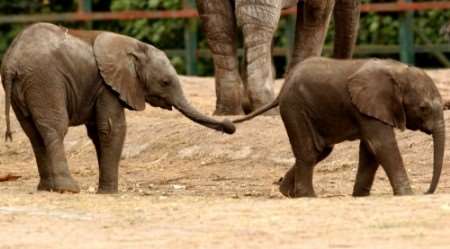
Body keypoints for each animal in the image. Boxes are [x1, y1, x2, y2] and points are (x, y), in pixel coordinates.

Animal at [1, 22, 236, 195]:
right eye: (165, 82)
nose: (230, 126)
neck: (134, 46)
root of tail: (12, 61)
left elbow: (98, 132)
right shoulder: (108, 86)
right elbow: (113, 128)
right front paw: (109, 193)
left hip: (25, 88)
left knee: (33, 134)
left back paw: (47, 188)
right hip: (45, 81)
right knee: (55, 128)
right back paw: (68, 189)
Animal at [234, 57, 444, 197]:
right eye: (423, 108)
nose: (427, 192)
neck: (398, 71)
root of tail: (282, 88)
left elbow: (369, 149)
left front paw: (360, 196)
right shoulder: (367, 106)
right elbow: (381, 144)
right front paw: (407, 194)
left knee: (321, 151)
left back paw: (286, 192)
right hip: (295, 108)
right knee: (308, 152)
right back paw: (307, 196)